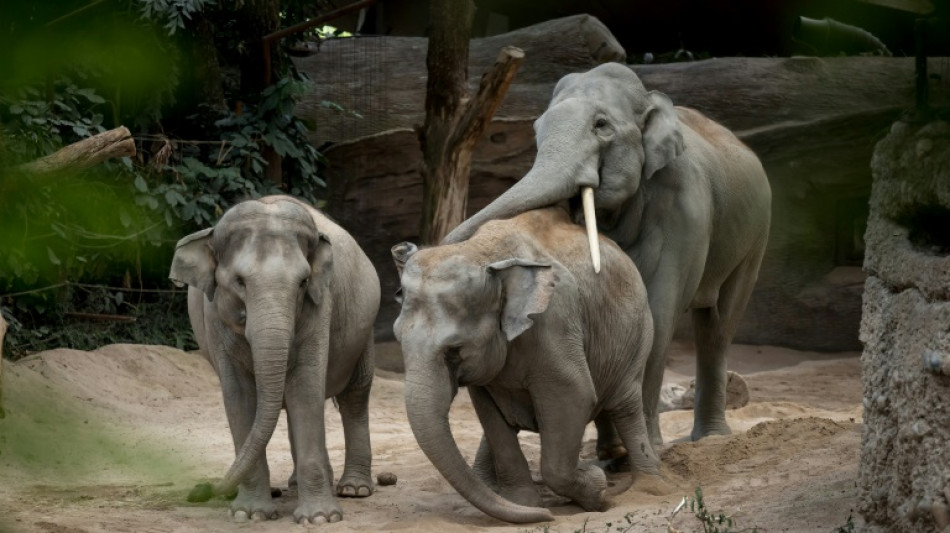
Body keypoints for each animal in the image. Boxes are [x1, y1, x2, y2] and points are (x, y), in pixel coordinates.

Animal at [169, 194, 382, 524]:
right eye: (239, 282)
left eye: (304, 282)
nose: (199, 491)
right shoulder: (213, 316)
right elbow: (239, 396)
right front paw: (249, 514)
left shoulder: (321, 305)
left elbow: (306, 386)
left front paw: (320, 518)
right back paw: (296, 485)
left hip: (364, 332)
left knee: (355, 397)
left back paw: (354, 489)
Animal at [390, 206, 660, 520]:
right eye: (398, 338)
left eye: (454, 351)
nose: (549, 517)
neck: (482, 253)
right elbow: (491, 417)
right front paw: (526, 504)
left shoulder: (554, 322)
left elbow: (575, 395)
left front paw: (596, 490)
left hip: (640, 333)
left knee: (626, 404)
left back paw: (650, 487)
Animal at [448, 61, 772, 448]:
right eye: (537, 130)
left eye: (601, 125)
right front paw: (611, 452)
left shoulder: (683, 203)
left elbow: (659, 312)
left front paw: (650, 448)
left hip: (755, 238)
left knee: (718, 326)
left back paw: (710, 439)